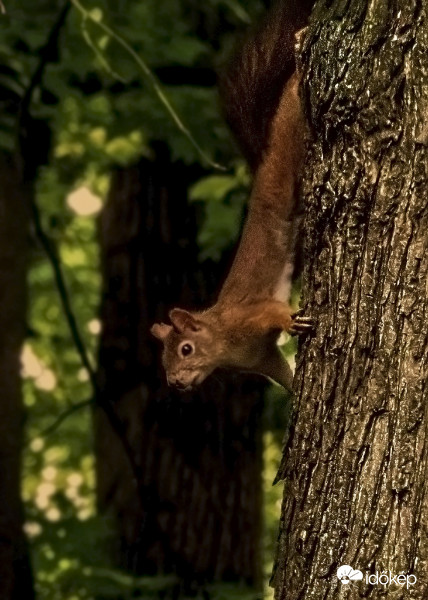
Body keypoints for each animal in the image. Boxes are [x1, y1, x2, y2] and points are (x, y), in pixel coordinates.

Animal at [150, 0, 314, 392]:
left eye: (187, 349)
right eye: (164, 360)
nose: (175, 383)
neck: (224, 341)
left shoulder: (250, 315)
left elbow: (275, 311)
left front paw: (294, 321)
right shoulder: (262, 359)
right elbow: (283, 374)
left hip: (285, 153)